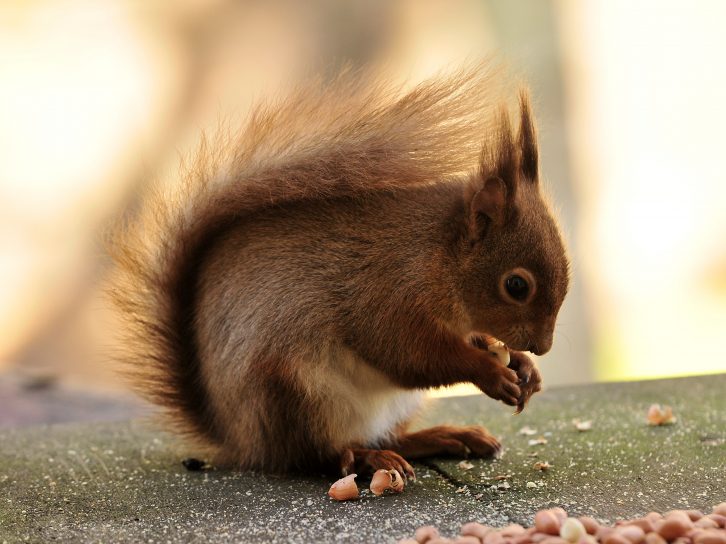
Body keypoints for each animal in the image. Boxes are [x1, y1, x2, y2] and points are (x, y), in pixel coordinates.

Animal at [111, 66, 572, 478]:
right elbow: (410, 354)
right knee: (321, 455)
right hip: (295, 394)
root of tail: (241, 439)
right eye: (516, 285)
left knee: (388, 437)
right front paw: (491, 372)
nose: (544, 346)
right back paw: (369, 459)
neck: (436, 254)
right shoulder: (386, 293)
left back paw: (445, 436)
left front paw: (523, 367)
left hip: (389, 405)